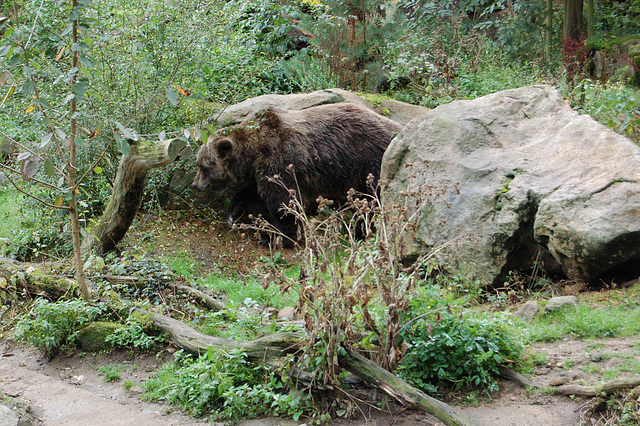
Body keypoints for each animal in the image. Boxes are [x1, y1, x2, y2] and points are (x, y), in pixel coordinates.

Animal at [190, 101, 400, 245]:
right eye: (199, 163)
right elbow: (252, 193)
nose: (194, 185)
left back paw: (361, 232)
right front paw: (233, 213)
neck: (253, 151)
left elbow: (282, 200)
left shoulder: (280, 158)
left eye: (203, 166)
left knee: (372, 201)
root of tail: (396, 128)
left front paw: (276, 237)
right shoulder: (262, 170)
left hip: (369, 162)